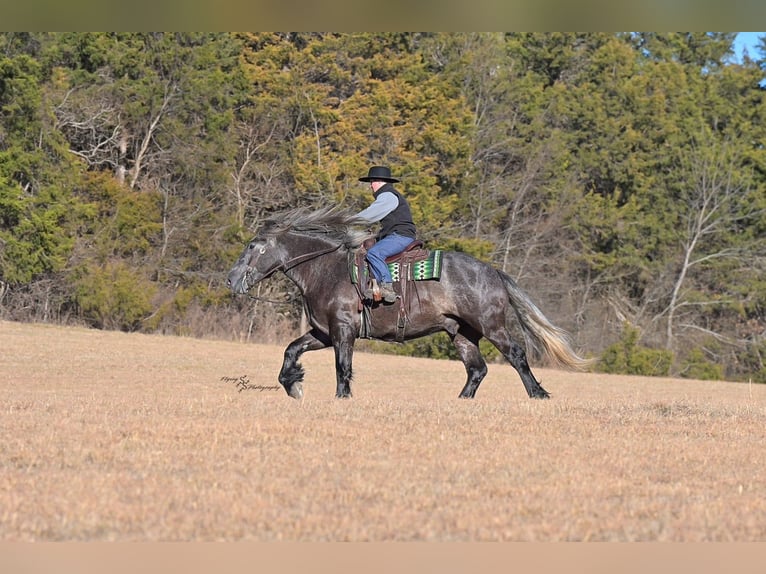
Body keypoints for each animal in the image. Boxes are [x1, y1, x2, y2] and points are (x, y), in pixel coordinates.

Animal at [227, 207, 590, 400]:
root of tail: (494, 272)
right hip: (462, 333)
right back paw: (461, 401)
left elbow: (342, 367)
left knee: (515, 355)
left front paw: (341, 397)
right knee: (477, 368)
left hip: (492, 326)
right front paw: (293, 384)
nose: (231, 279)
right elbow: (291, 349)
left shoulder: (343, 331)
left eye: (253, 247)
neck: (326, 269)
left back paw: (538, 394)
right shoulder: (324, 333)